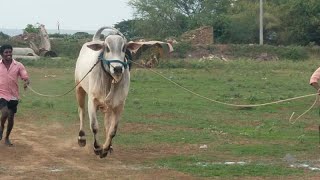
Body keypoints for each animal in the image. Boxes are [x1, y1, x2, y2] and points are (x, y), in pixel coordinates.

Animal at [75, 26, 130, 158]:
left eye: (124, 48)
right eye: (107, 48)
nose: (118, 68)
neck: (110, 80)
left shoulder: (119, 105)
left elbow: (112, 130)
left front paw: (106, 148)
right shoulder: (92, 101)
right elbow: (94, 127)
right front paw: (97, 148)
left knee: (107, 124)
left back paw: (109, 147)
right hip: (79, 88)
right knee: (81, 112)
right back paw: (81, 138)